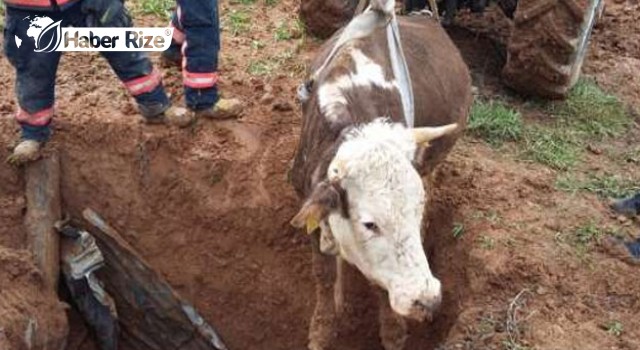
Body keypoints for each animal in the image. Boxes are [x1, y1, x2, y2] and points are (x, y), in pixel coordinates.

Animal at [290, 4, 470, 348]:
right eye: (369, 224)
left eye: (417, 210)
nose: (427, 299)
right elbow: (324, 274)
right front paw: (322, 329)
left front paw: (394, 334)